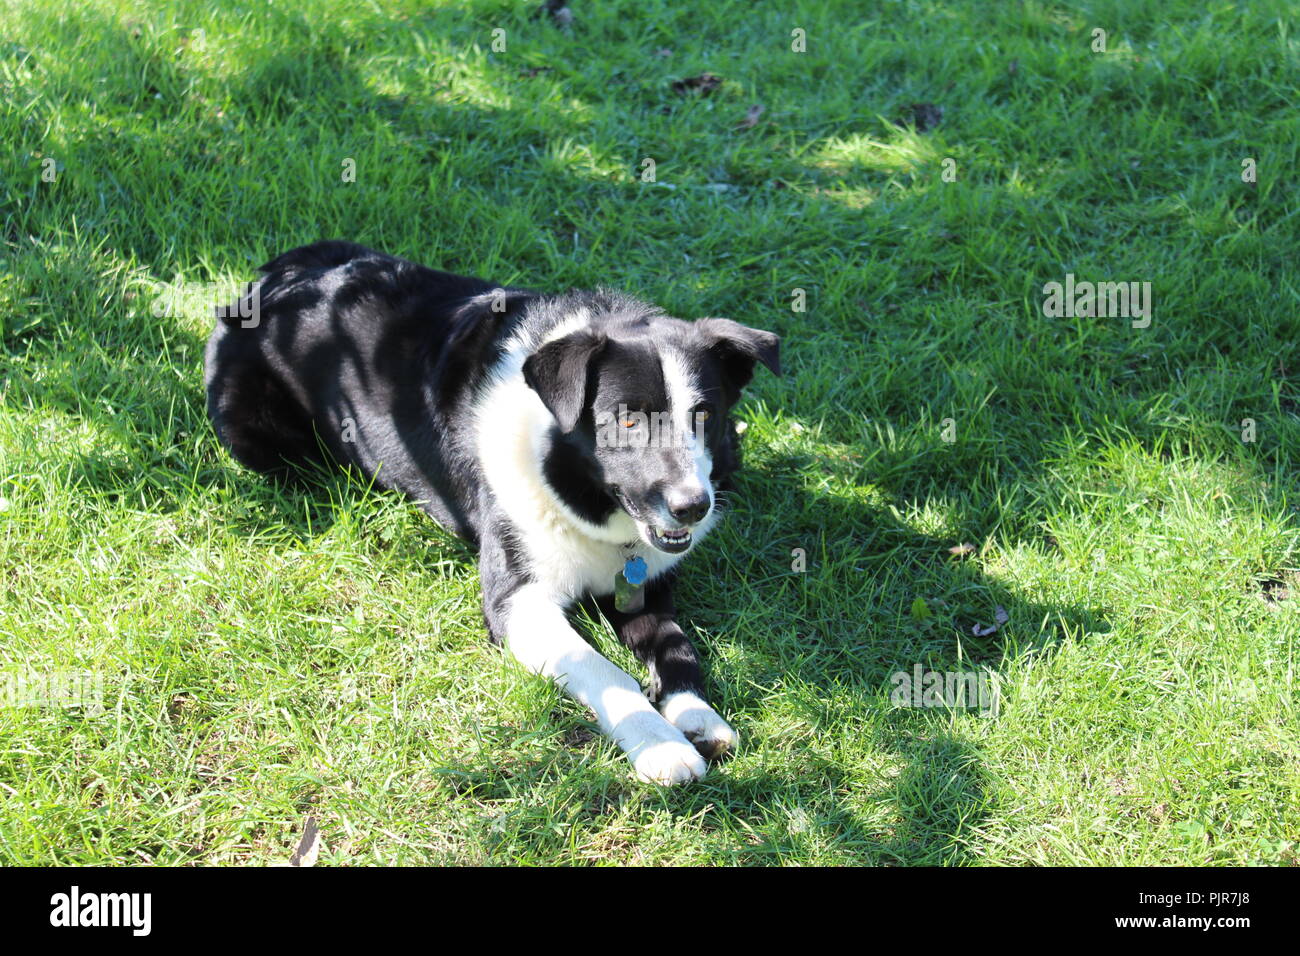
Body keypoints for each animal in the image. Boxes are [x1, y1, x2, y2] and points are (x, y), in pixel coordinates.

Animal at [200, 240, 769, 785]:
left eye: (705, 415)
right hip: (258, 435)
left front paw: (697, 716)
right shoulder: (515, 602)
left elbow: (677, 646)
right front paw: (660, 744)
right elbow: (605, 670)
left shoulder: (643, 582)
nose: (693, 507)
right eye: (626, 421)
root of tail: (272, 279)